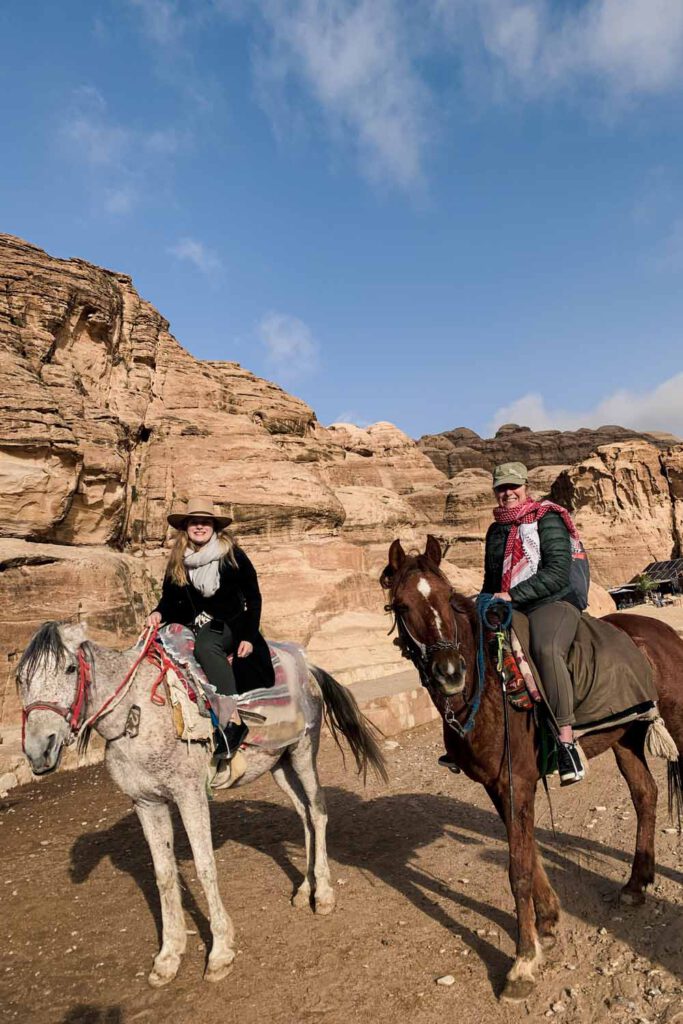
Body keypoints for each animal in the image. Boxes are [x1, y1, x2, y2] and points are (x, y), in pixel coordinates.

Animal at [18, 618, 387, 987]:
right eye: (21, 678)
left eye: (69, 668)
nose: (39, 750)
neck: (137, 716)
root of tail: (308, 667)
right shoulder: (146, 803)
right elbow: (164, 874)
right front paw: (168, 957)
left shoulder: (189, 794)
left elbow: (204, 866)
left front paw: (220, 952)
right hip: (278, 765)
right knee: (304, 815)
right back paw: (304, 888)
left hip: (302, 752)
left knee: (319, 811)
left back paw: (323, 894)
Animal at [382, 536, 679, 999]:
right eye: (401, 605)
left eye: (448, 597)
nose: (449, 673)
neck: (488, 686)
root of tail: (664, 633)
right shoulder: (497, 784)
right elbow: (529, 851)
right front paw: (549, 920)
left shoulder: (516, 781)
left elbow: (517, 868)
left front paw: (522, 962)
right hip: (626, 738)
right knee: (644, 794)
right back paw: (635, 885)